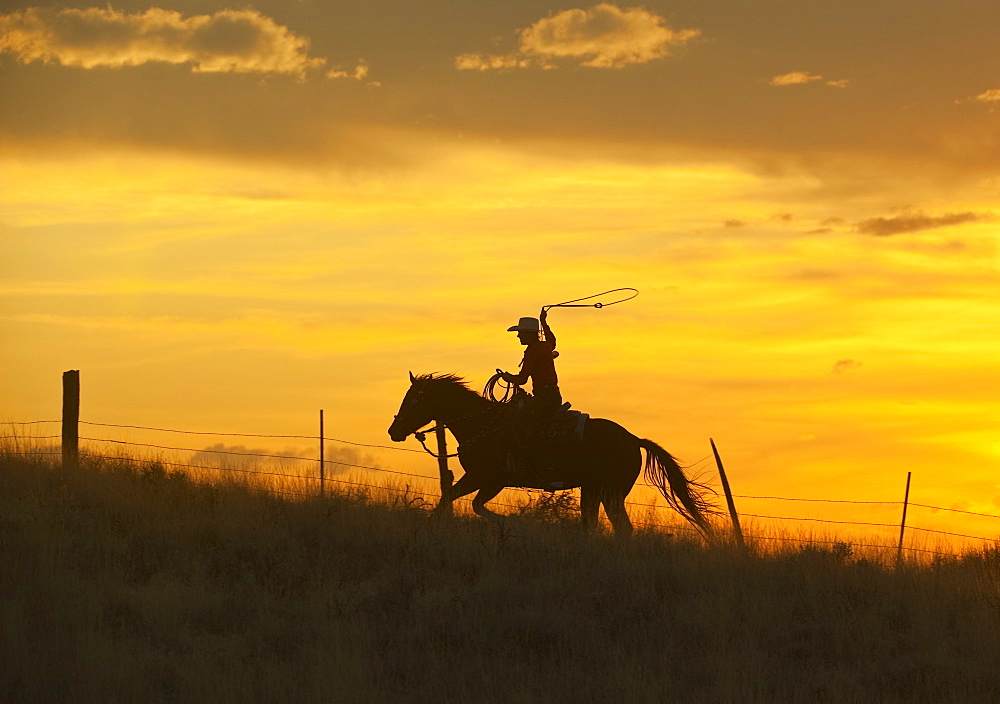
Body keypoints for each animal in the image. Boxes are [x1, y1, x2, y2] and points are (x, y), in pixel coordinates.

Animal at [386, 372, 716, 536]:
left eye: (413, 400)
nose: (394, 431)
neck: (483, 425)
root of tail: (634, 440)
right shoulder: (485, 481)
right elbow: (458, 502)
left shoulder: (485, 478)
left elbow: (460, 502)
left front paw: (514, 522)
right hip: (594, 491)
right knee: (594, 524)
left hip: (610, 493)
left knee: (621, 528)